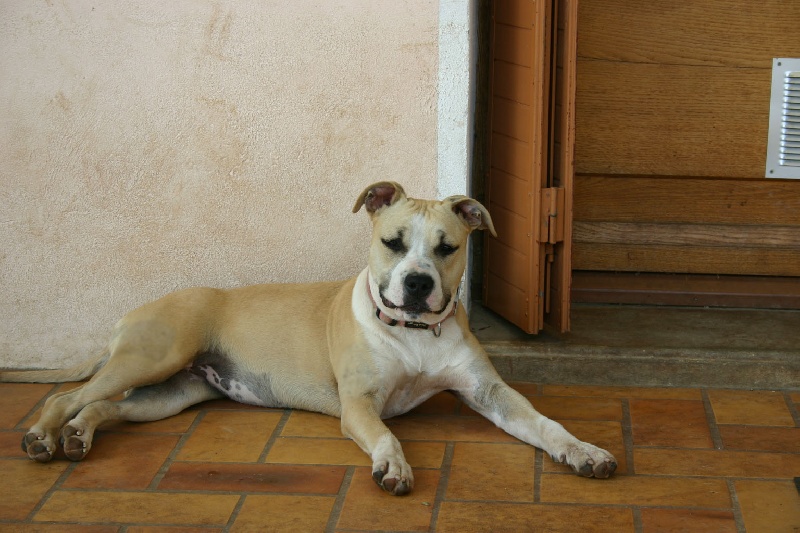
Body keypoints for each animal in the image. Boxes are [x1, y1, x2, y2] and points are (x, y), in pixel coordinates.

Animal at [0, 182, 616, 494]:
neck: (414, 332)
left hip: (171, 393)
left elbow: (546, 424)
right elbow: (387, 437)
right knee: (66, 396)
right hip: (153, 356)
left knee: (102, 406)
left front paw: (583, 450)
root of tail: (135, 310)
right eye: (393, 242)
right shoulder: (360, 405)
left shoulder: (491, 394)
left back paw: (77, 436)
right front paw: (393, 466)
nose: (418, 284)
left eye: (448, 247)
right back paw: (44, 437)